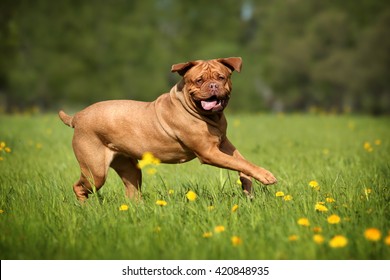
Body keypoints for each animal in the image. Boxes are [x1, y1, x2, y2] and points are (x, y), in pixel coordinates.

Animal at [59, 57, 276, 201]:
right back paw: (86, 208)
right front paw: (266, 176)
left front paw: (248, 186)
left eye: (221, 77)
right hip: (94, 170)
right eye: (199, 80)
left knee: (132, 192)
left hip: (129, 167)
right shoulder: (209, 152)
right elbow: (240, 163)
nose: (213, 85)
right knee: (79, 187)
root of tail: (77, 116)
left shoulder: (224, 144)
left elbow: (242, 162)